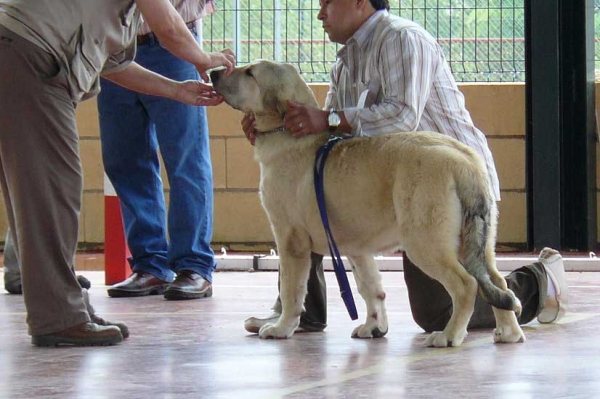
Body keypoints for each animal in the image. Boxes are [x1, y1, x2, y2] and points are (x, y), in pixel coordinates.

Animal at [211, 59, 524, 346]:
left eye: (250, 73)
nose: (214, 72)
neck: (291, 135)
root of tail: (464, 162)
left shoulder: (291, 239)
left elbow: (292, 289)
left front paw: (281, 327)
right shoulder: (356, 248)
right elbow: (371, 288)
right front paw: (374, 327)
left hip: (425, 242)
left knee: (466, 284)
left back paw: (449, 335)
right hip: (475, 242)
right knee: (497, 281)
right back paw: (508, 332)